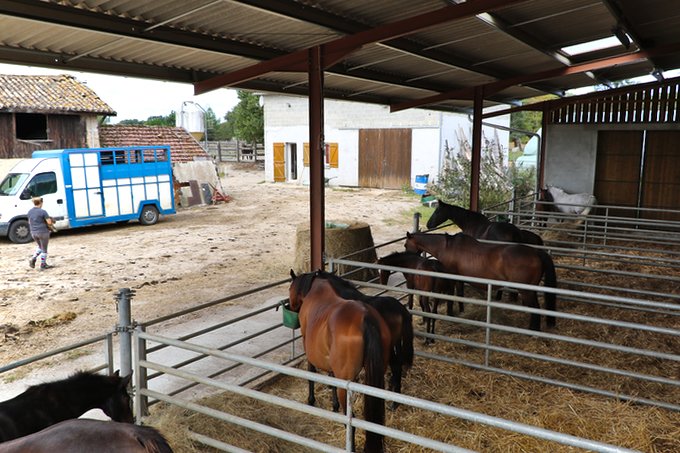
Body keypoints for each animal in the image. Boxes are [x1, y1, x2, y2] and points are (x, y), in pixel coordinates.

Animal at [288, 270, 391, 453]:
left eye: (290, 289)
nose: (291, 306)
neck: (317, 290)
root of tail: (366, 318)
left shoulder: (309, 350)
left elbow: (311, 373)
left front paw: (311, 400)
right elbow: (331, 376)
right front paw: (334, 403)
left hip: (347, 383)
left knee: (351, 420)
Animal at [404, 232, 557, 331]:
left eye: (405, 245)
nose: (407, 257)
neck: (447, 247)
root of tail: (536, 253)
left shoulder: (452, 277)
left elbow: (451, 297)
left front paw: (450, 313)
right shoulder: (460, 278)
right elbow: (460, 295)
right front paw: (461, 311)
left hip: (527, 291)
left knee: (535, 309)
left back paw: (533, 330)